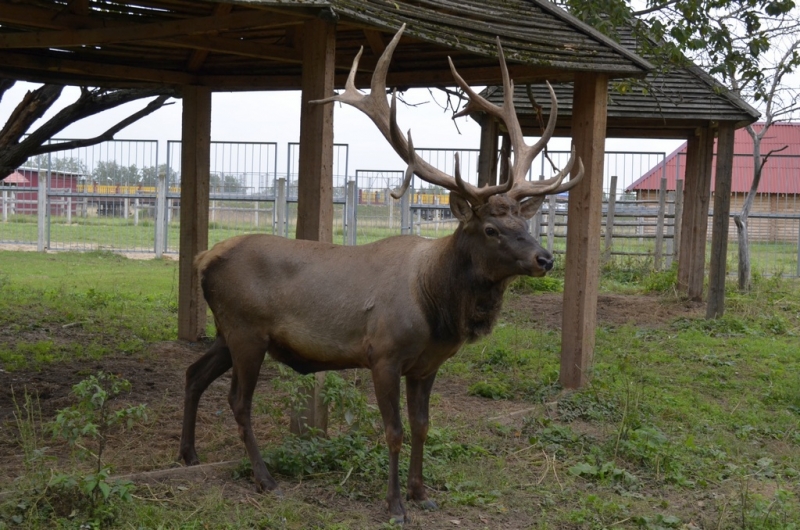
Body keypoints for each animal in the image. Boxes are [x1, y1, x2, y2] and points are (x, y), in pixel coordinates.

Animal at [180, 23, 580, 520]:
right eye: (491, 228)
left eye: (524, 223)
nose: (545, 259)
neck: (436, 305)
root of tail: (203, 259)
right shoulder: (383, 355)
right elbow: (394, 431)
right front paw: (394, 505)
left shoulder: (426, 366)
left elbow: (423, 426)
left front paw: (422, 493)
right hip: (246, 330)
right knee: (238, 401)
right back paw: (264, 478)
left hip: (227, 331)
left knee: (193, 374)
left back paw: (188, 453)